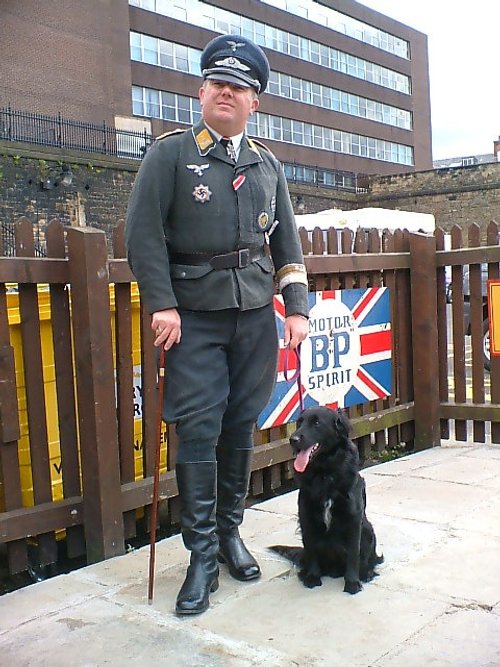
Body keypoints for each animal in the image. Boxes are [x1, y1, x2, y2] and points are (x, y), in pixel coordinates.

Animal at [272, 408, 380, 596]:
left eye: (316, 423)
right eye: (299, 422)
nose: (293, 440)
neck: (324, 472)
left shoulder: (353, 518)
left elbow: (354, 553)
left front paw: (352, 582)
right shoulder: (306, 517)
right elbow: (312, 550)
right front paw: (312, 577)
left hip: (368, 529)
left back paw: (366, 573)